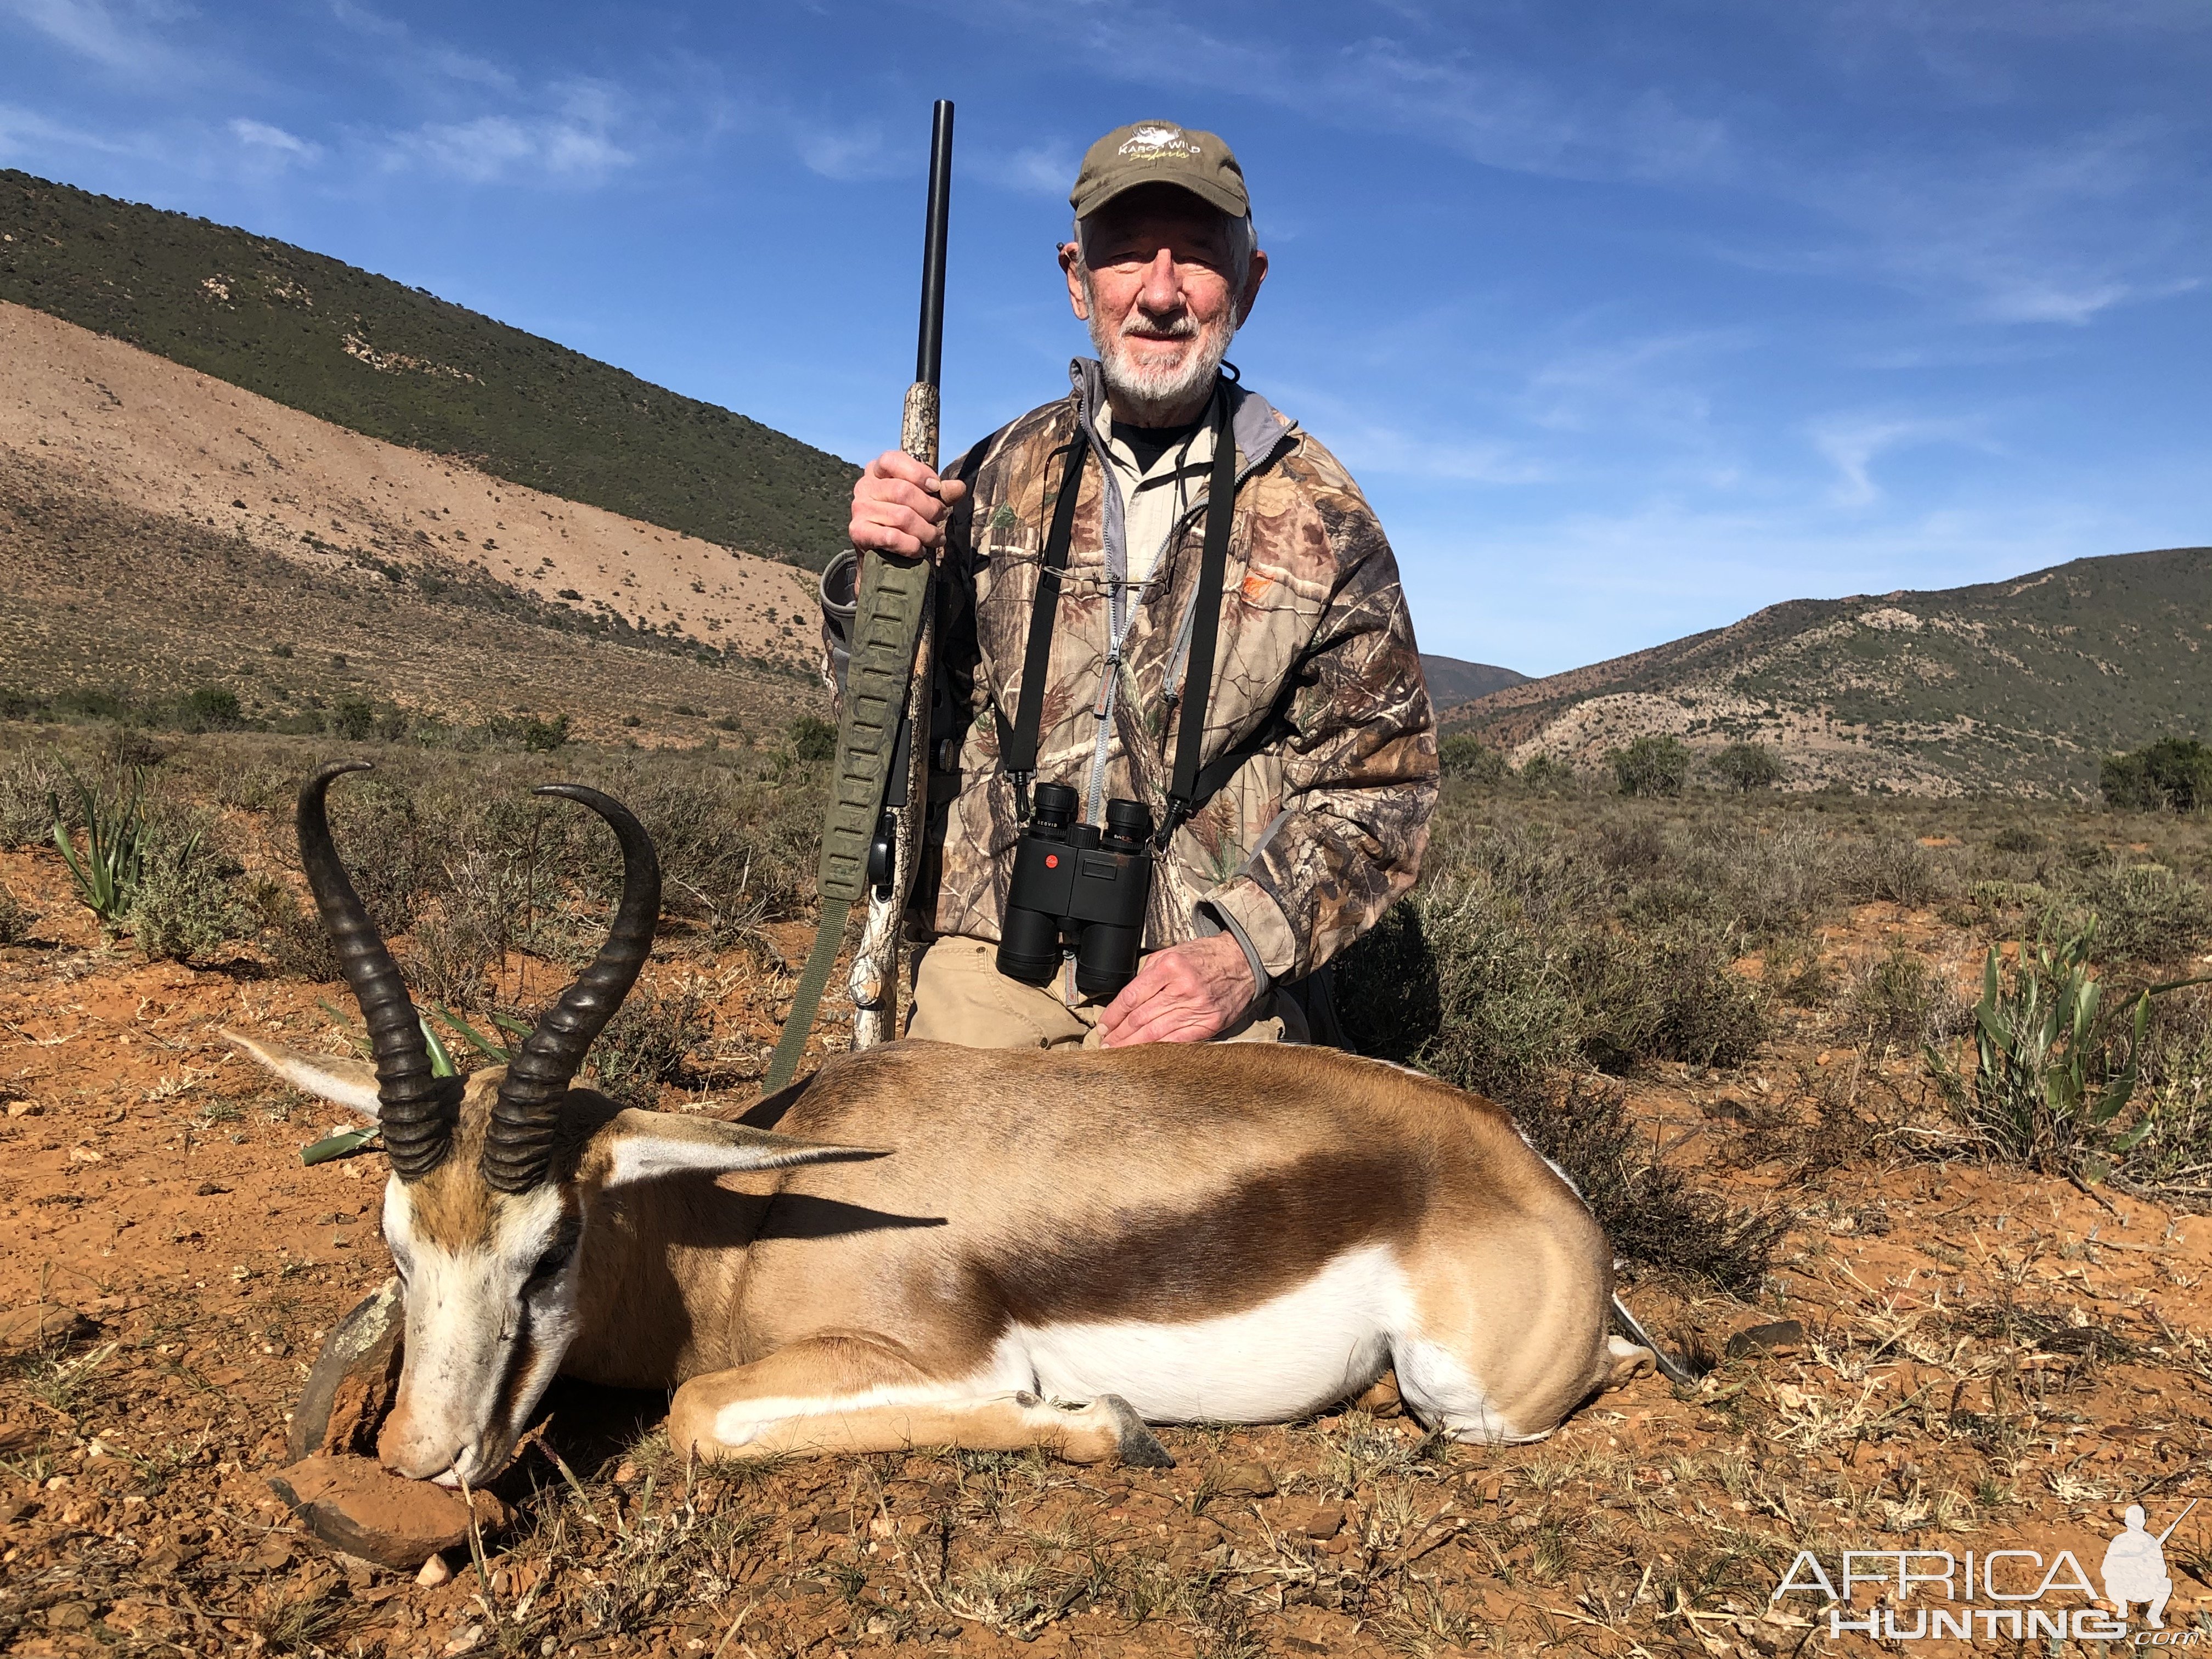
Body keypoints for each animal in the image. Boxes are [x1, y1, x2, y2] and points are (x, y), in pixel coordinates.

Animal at [233, 761, 1654, 1486]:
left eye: (550, 1251)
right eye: (396, 1244)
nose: (419, 1455)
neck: (746, 1226)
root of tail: (1536, 1174)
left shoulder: (940, 1361)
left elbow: (700, 1415)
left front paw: (1106, 1426)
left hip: (1463, 1396)